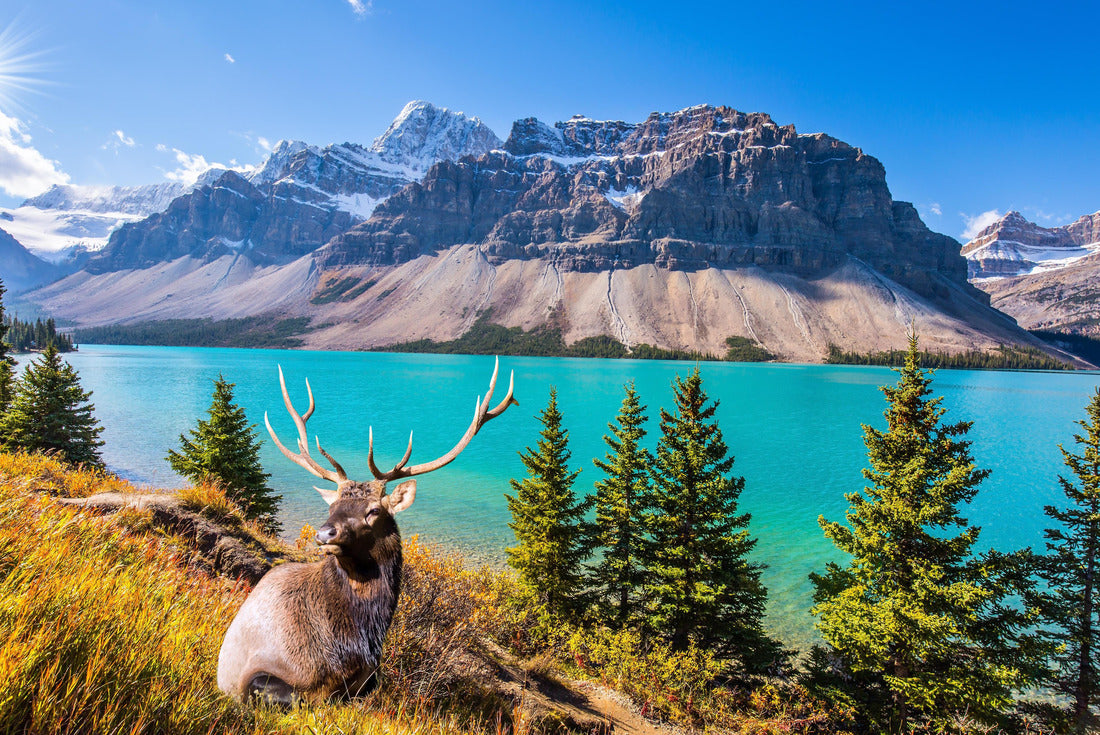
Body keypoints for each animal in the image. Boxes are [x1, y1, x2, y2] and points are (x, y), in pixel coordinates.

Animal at [216, 359, 516, 704]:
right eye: (332, 507)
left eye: (373, 511)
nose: (325, 534)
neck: (357, 641)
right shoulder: (256, 673)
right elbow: (304, 698)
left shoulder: (370, 677)